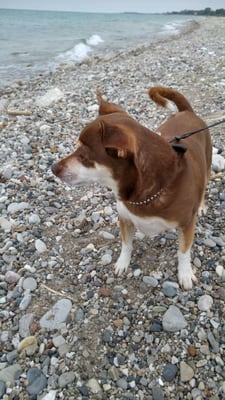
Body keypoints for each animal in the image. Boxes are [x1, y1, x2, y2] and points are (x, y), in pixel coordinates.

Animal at [51, 86, 212, 290]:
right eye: (75, 149)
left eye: (83, 157)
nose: (53, 168)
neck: (145, 193)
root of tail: (187, 112)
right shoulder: (125, 218)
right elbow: (126, 243)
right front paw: (122, 263)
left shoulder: (186, 224)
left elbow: (183, 251)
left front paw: (185, 274)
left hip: (207, 165)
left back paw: (202, 205)